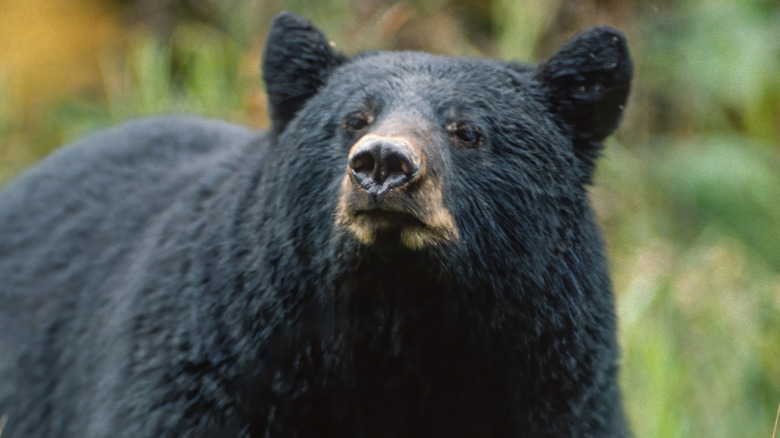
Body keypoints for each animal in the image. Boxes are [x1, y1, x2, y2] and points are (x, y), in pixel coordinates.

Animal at [0, 11, 632, 438]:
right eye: (354, 119)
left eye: (467, 130)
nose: (383, 164)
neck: (397, 322)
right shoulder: (208, 381)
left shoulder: (553, 393)